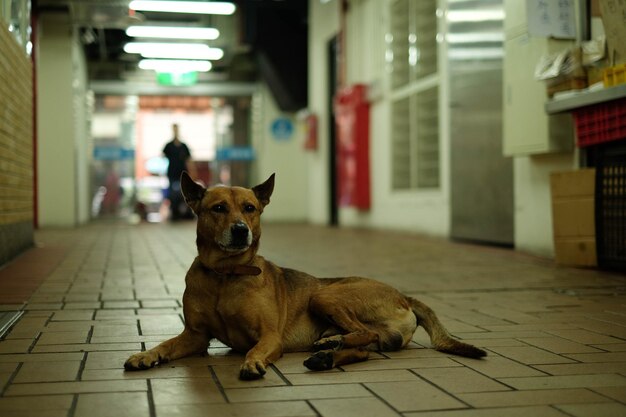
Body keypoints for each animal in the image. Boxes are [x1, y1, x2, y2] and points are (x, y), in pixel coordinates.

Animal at [122, 171, 482, 378]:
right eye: (218, 208)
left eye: (250, 208)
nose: (240, 231)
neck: (226, 274)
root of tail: (403, 296)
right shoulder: (195, 336)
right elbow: (165, 344)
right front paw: (145, 355)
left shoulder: (269, 337)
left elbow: (255, 350)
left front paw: (252, 363)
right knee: (367, 347)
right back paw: (327, 355)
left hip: (325, 294)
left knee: (364, 332)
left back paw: (333, 342)